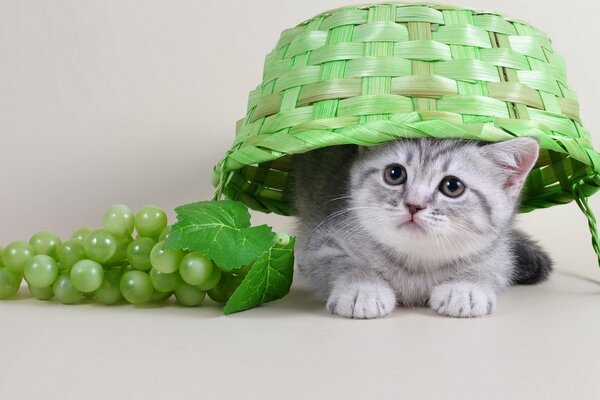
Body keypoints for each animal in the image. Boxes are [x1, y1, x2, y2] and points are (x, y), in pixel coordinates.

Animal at [292, 138, 552, 318]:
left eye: (452, 186)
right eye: (394, 173)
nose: (413, 205)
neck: (416, 263)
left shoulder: (501, 255)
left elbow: (489, 269)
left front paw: (464, 289)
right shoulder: (323, 243)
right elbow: (346, 264)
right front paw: (363, 290)